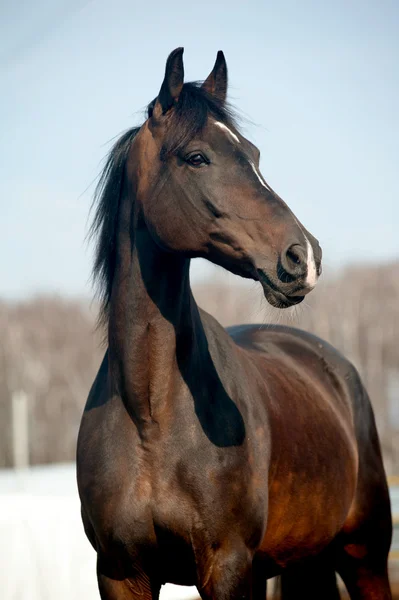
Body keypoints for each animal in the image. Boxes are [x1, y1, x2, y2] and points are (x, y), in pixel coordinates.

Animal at [76, 48, 392, 600]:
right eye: (196, 157)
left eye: (254, 155)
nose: (304, 257)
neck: (149, 415)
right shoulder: (120, 574)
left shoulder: (226, 566)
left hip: (364, 557)